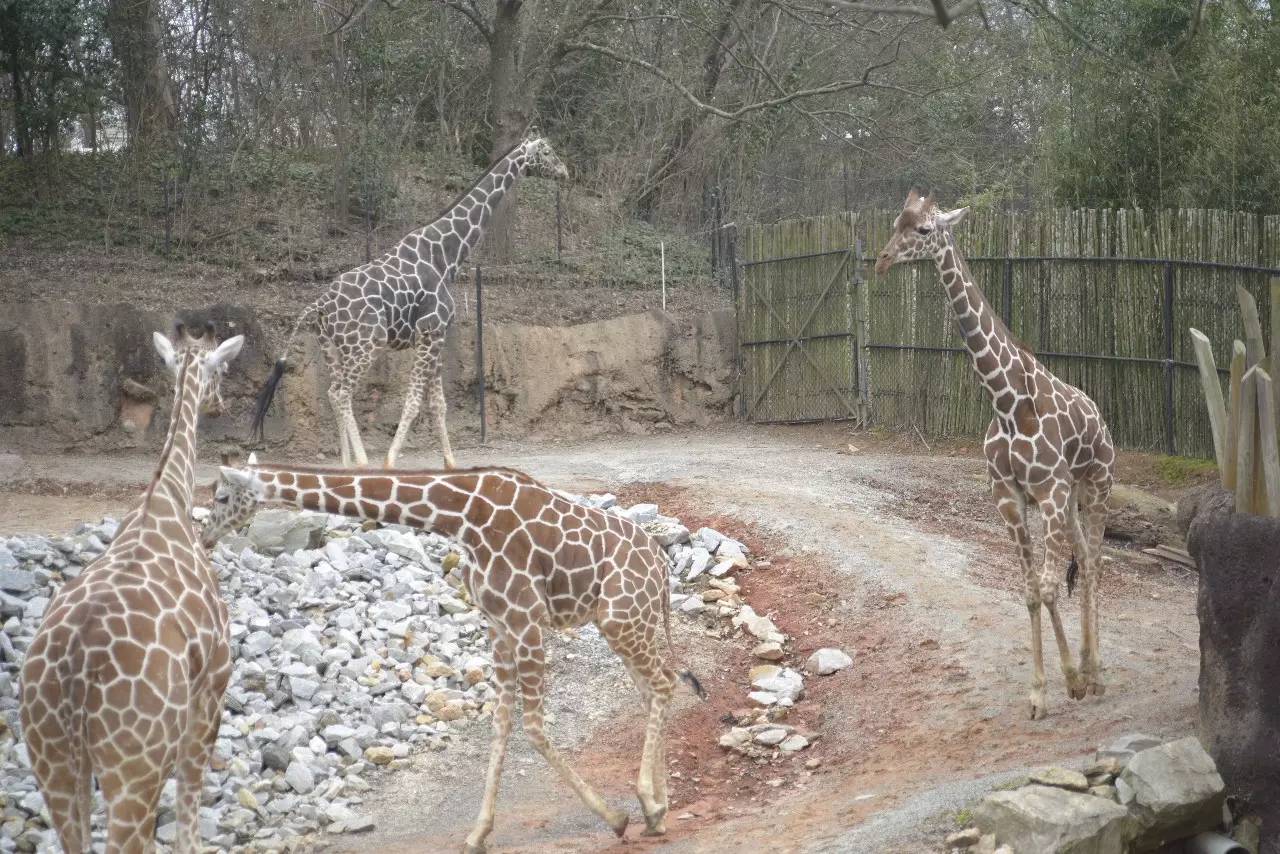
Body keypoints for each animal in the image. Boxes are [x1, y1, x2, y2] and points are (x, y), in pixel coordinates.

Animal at [18, 322, 243, 854]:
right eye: (222, 368)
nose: (220, 405)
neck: (165, 500)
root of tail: (75, 675)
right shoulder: (214, 681)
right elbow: (190, 806)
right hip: (134, 768)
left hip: (54, 762)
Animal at [197, 458, 711, 850]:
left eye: (221, 497)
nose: (202, 538)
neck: (461, 517)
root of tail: (662, 565)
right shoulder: (500, 624)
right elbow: (502, 722)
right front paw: (478, 832)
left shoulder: (526, 619)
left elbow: (533, 725)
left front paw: (614, 818)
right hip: (625, 622)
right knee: (655, 688)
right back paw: (658, 810)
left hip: (623, 619)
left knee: (663, 683)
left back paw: (647, 803)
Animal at [249, 137, 570, 471]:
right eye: (548, 152)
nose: (565, 171)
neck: (447, 254)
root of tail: (320, 304)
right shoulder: (430, 332)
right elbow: (414, 400)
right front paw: (390, 461)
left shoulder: (437, 335)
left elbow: (438, 404)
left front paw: (450, 463)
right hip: (367, 344)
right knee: (341, 393)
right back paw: (363, 461)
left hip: (331, 348)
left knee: (333, 392)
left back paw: (347, 463)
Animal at [875, 190, 1116, 717]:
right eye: (895, 222)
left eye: (924, 230)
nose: (881, 260)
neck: (1005, 400)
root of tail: (1101, 417)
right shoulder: (1009, 496)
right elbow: (1029, 590)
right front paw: (1041, 692)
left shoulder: (1048, 492)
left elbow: (1046, 585)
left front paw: (1070, 680)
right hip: (1070, 497)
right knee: (1084, 560)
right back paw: (1089, 666)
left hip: (1096, 487)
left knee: (1093, 563)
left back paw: (1096, 674)